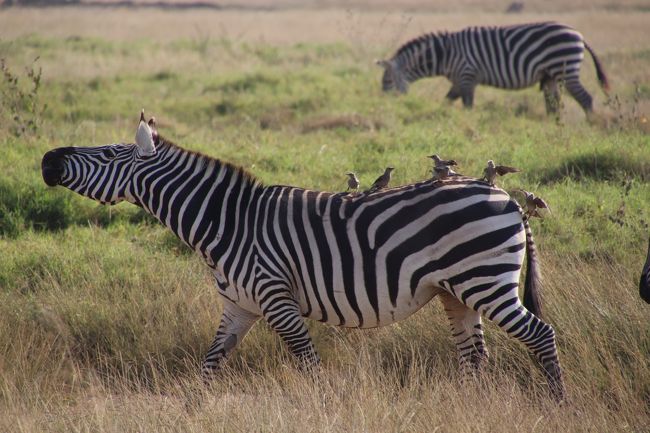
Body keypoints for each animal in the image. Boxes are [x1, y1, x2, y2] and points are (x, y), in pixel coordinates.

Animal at [41, 113, 560, 400]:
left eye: (110, 154)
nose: (47, 160)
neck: (228, 223)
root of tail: (508, 198)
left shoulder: (277, 299)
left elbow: (307, 363)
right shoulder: (239, 307)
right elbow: (210, 365)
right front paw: (193, 408)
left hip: (485, 281)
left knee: (540, 335)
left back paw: (557, 403)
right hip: (458, 292)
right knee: (475, 355)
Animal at [378, 21, 612, 116]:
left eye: (387, 81)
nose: (384, 104)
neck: (446, 53)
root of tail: (579, 34)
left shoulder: (467, 74)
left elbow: (467, 105)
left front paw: (466, 123)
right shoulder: (459, 80)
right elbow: (447, 100)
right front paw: (441, 117)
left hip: (565, 68)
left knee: (585, 99)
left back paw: (592, 125)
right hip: (552, 75)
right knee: (554, 104)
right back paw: (553, 124)